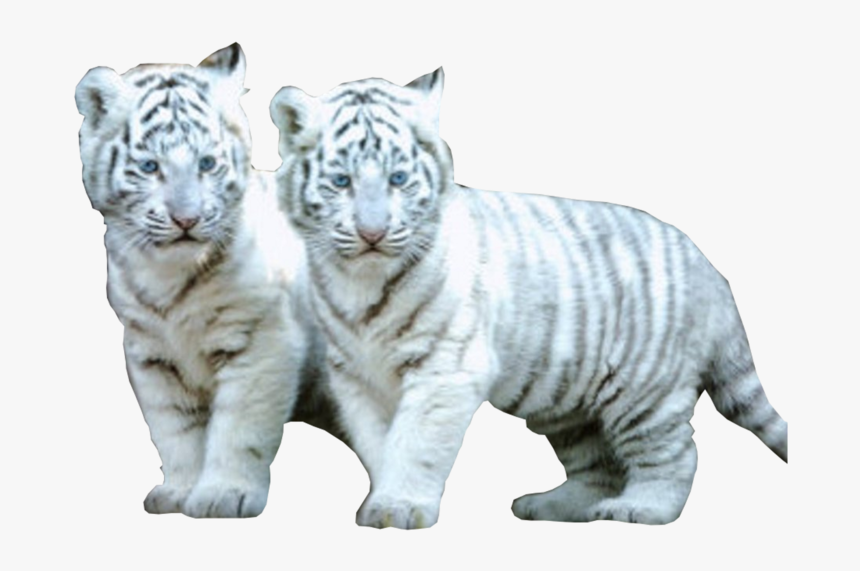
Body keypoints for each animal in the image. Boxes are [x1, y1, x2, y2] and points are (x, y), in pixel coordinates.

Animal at [76, 44, 317, 517]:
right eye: (149, 166)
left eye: (207, 163)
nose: (185, 220)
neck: (169, 276)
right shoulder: (151, 353)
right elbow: (174, 428)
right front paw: (179, 491)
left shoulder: (261, 339)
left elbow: (238, 426)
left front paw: (225, 494)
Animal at [268, 68, 788, 528]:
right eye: (341, 182)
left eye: (398, 179)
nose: (372, 234)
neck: (360, 282)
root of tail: (712, 269)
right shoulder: (356, 376)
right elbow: (378, 443)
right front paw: (381, 499)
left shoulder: (445, 368)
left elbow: (415, 443)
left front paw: (400, 507)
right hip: (569, 403)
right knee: (597, 466)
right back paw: (549, 506)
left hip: (646, 390)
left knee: (677, 453)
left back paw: (641, 509)